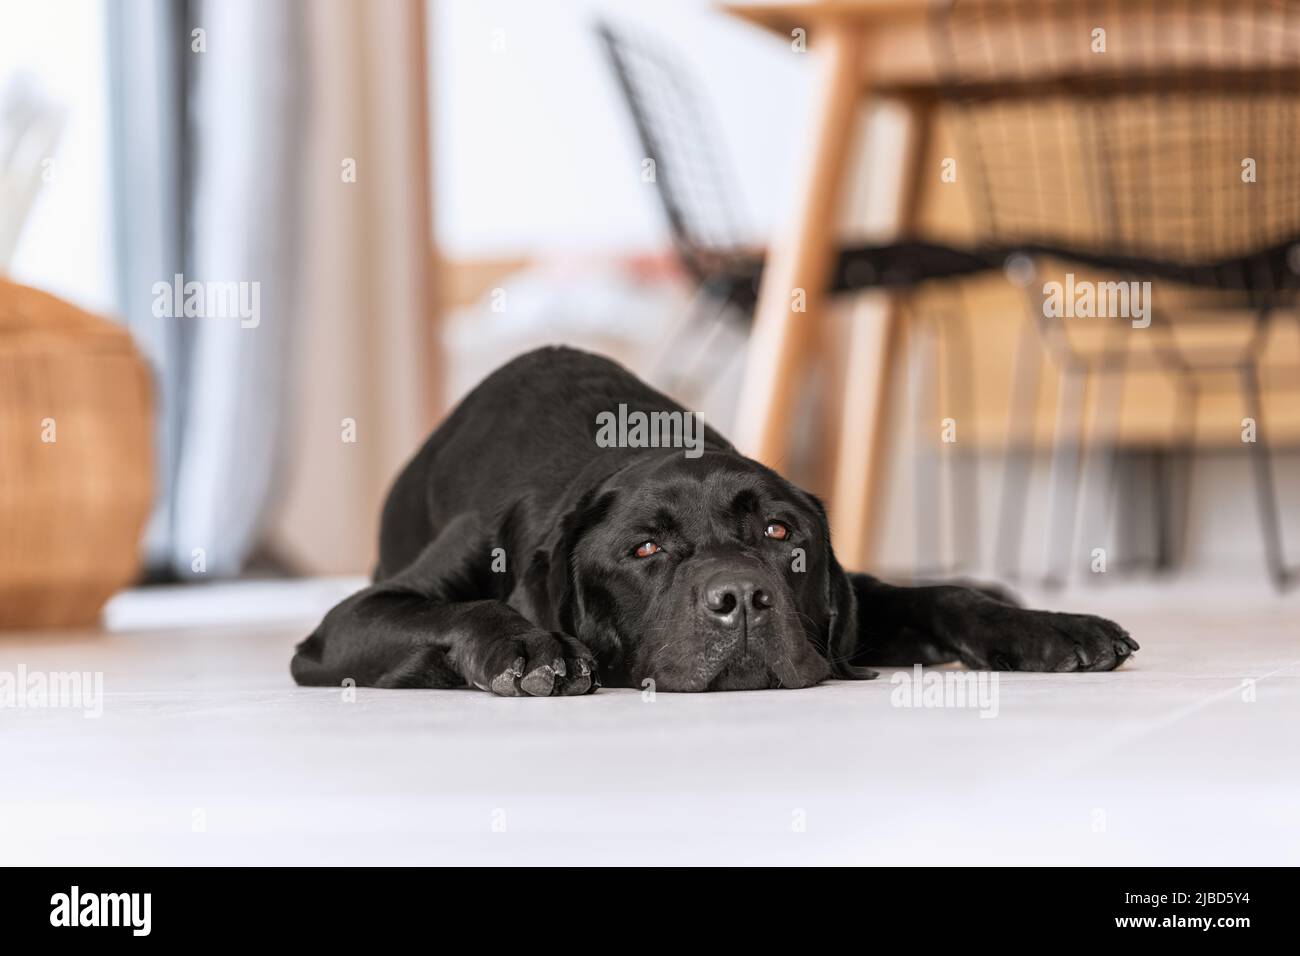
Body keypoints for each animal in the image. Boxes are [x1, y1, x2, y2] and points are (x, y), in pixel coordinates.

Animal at [289, 348, 1133, 691]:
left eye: (780, 534)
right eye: (645, 548)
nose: (745, 601)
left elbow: (936, 597)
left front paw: (1055, 629)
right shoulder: (345, 627)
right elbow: (464, 609)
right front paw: (530, 646)